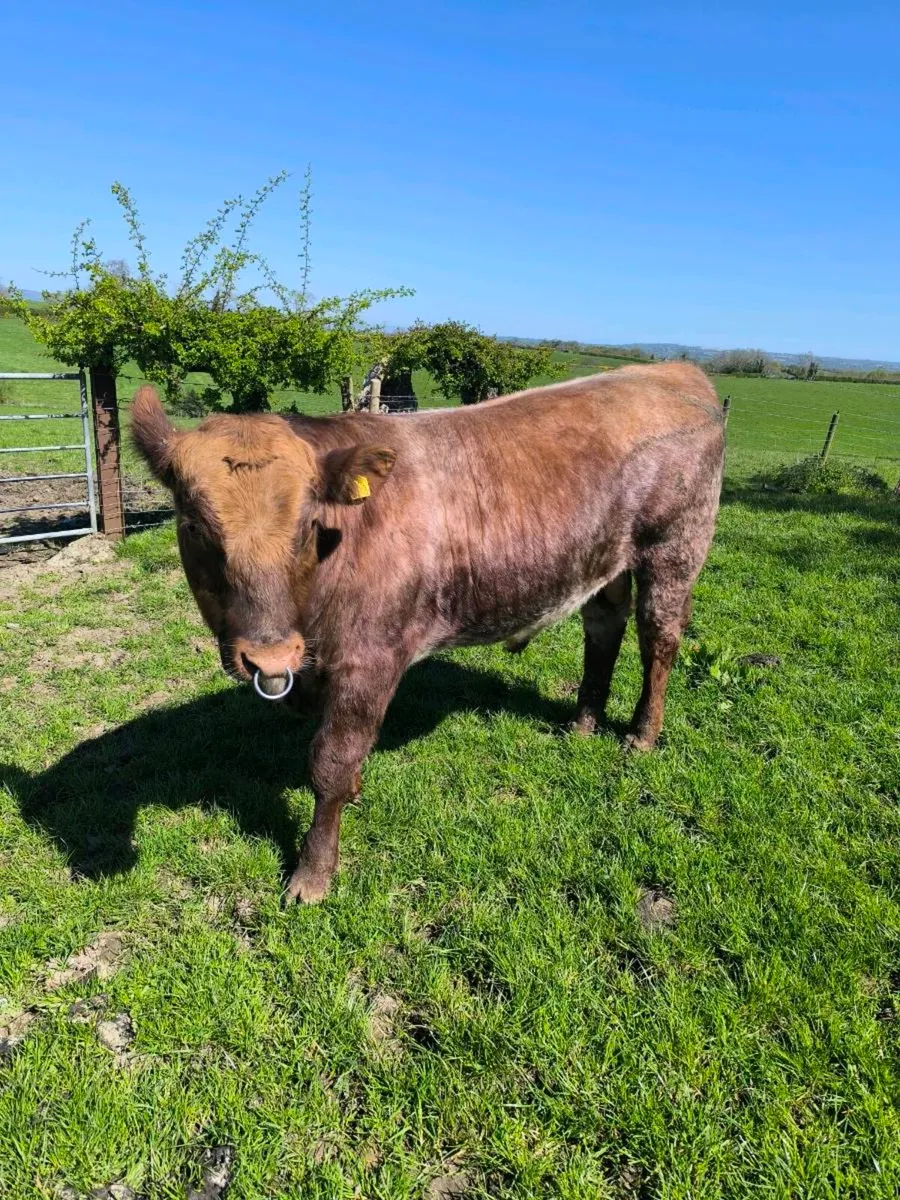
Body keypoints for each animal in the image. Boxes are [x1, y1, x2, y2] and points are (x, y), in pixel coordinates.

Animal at [131, 363, 724, 902]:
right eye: (193, 525)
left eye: (308, 525)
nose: (269, 658)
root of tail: (672, 371)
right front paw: (354, 796)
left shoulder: (370, 659)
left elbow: (330, 762)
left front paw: (312, 876)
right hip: (604, 561)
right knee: (603, 628)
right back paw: (581, 724)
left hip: (675, 548)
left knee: (659, 637)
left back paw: (641, 735)